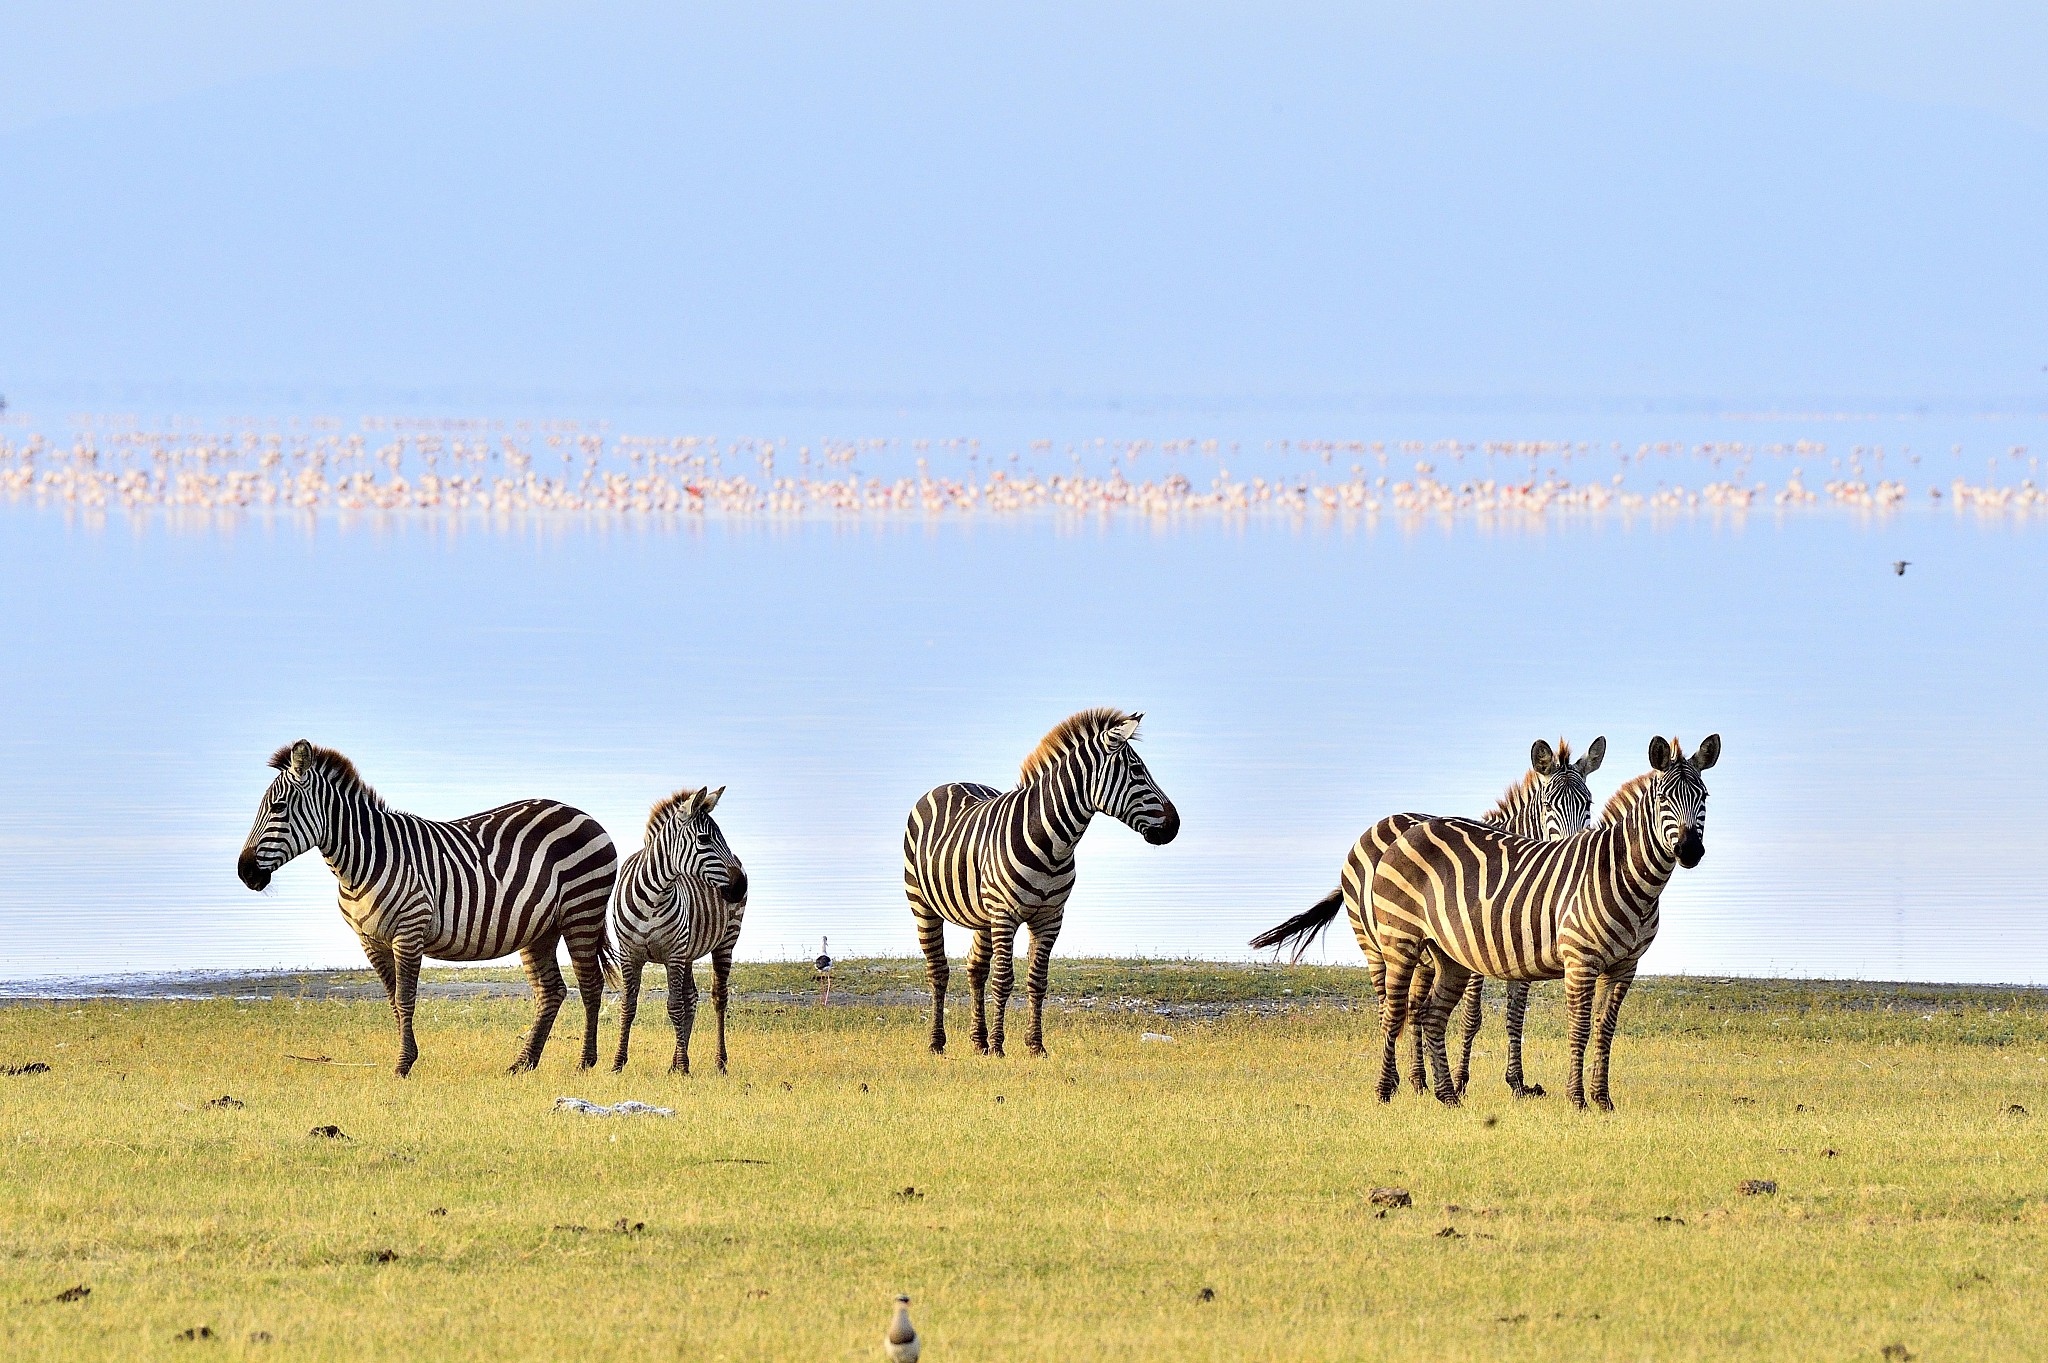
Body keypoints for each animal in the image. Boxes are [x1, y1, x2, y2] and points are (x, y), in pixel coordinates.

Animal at [235, 740, 619, 1077]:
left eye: (278, 808)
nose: (245, 873)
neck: (363, 861)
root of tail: (583, 814)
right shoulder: (370, 940)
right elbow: (393, 1000)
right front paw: (407, 1057)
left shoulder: (409, 930)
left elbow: (406, 999)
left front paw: (403, 1064)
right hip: (540, 928)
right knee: (551, 990)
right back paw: (523, 1063)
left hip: (581, 913)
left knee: (590, 985)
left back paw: (586, 1062)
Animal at [609, 786, 749, 1074]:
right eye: (704, 839)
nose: (741, 886)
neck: (653, 897)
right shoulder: (629, 954)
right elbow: (628, 1006)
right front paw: (618, 1063)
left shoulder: (673, 954)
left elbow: (674, 1006)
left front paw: (685, 1067)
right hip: (689, 952)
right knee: (691, 998)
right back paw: (676, 1061)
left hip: (726, 940)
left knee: (718, 998)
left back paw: (718, 1063)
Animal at [905, 708, 1180, 1057]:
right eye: (1136, 770)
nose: (1175, 825)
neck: (1053, 844)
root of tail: (949, 783)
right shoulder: (1005, 915)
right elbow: (1004, 979)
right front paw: (1000, 1047)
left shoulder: (1050, 917)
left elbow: (1037, 981)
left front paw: (1035, 1046)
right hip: (922, 904)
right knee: (938, 971)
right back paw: (937, 1043)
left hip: (982, 915)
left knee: (975, 969)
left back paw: (978, 1042)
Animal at [1249, 737, 1605, 1098]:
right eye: (1548, 804)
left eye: (1588, 803)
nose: (1572, 847)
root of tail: (1377, 824)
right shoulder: (1473, 950)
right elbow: (1472, 1017)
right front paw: (1461, 1080)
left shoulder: (1520, 953)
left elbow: (1516, 1014)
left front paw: (1516, 1082)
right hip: (1375, 945)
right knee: (1388, 1007)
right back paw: (1396, 1080)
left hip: (1422, 955)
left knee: (1414, 1008)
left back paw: (1419, 1079)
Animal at [1369, 734, 1719, 1110]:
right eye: (1662, 798)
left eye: (1704, 797)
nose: (1690, 850)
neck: (1626, 877)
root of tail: (1414, 828)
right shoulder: (1580, 961)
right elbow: (1580, 1028)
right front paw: (1577, 1099)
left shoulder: (1625, 966)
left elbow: (1605, 1029)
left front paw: (1603, 1099)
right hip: (1400, 940)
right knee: (1394, 1012)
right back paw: (1386, 1091)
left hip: (1449, 954)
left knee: (1433, 1015)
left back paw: (1448, 1096)